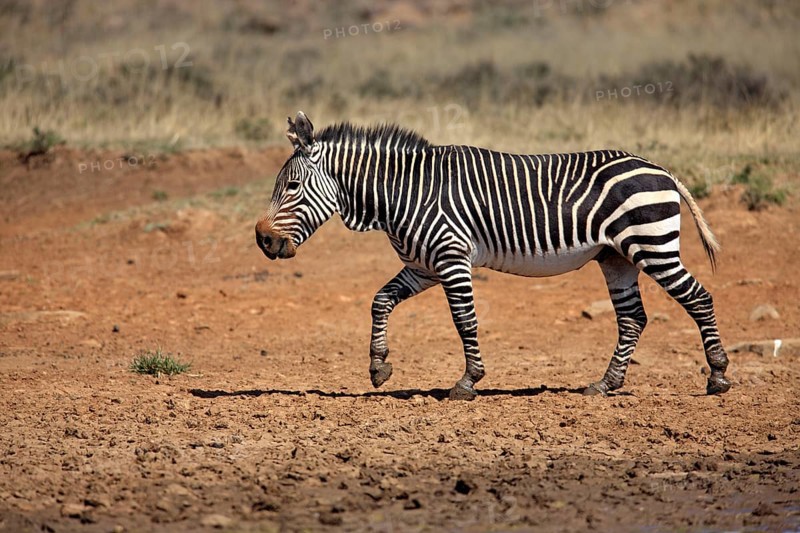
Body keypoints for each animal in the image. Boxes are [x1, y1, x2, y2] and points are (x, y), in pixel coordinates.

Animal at [255, 111, 731, 400]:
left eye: (292, 187)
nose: (262, 240)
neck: (403, 192)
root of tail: (662, 169)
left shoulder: (451, 257)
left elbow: (465, 321)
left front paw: (468, 382)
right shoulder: (423, 266)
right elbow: (380, 300)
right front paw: (378, 366)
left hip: (652, 245)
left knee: (699, 298)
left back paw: (718, 375)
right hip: (617, 258)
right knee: (633, 318)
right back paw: (605, 383)